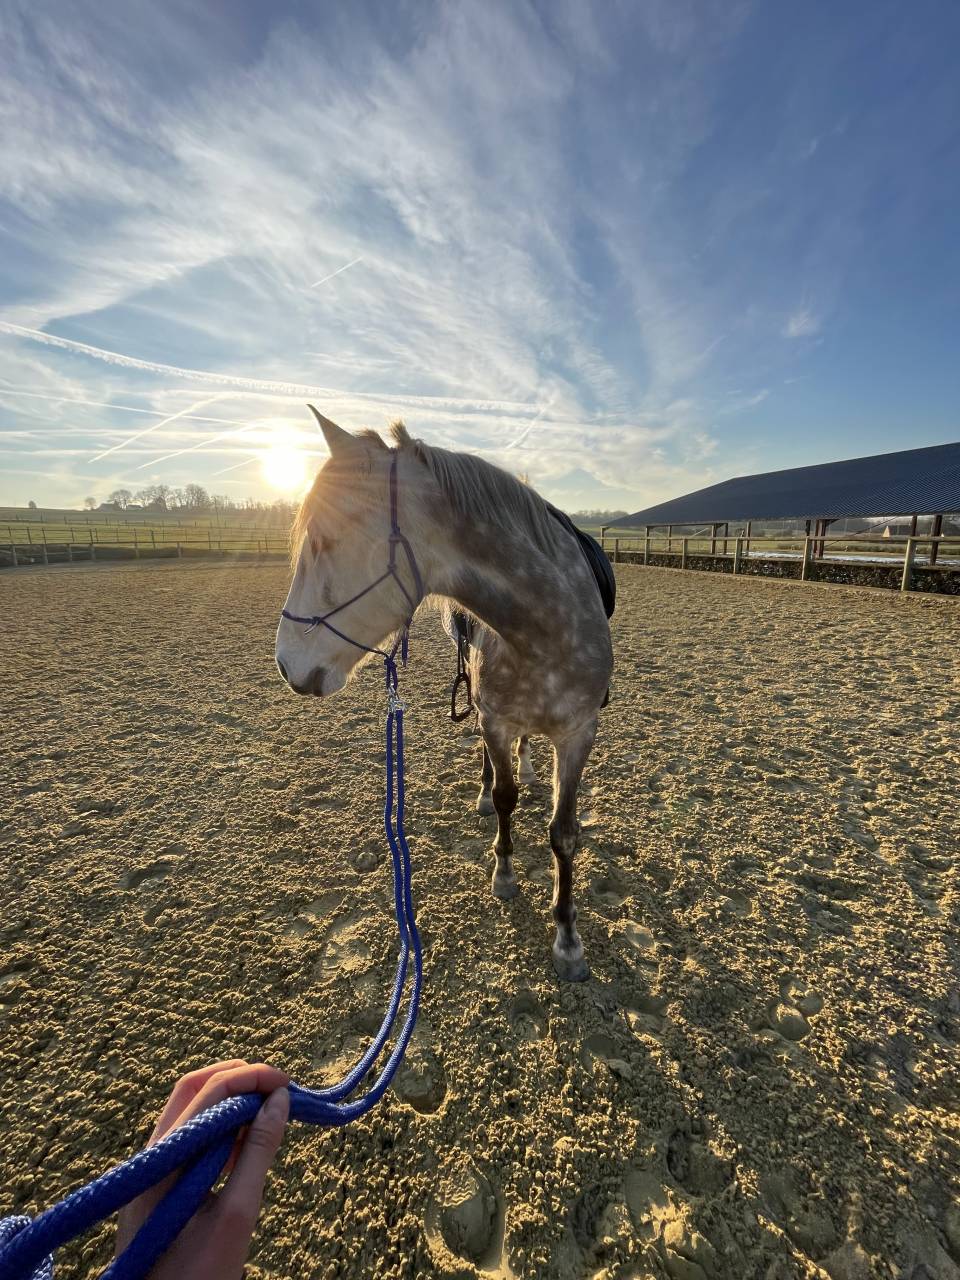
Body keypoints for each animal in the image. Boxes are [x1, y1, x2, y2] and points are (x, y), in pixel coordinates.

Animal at [276, 409, 614, 981]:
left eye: (322, 539)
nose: (285, 663)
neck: (544, 626)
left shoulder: (578, 734)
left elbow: (564, 833)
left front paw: (568, 938)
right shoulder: (495, 719)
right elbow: (504, 799)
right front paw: (503, 872)